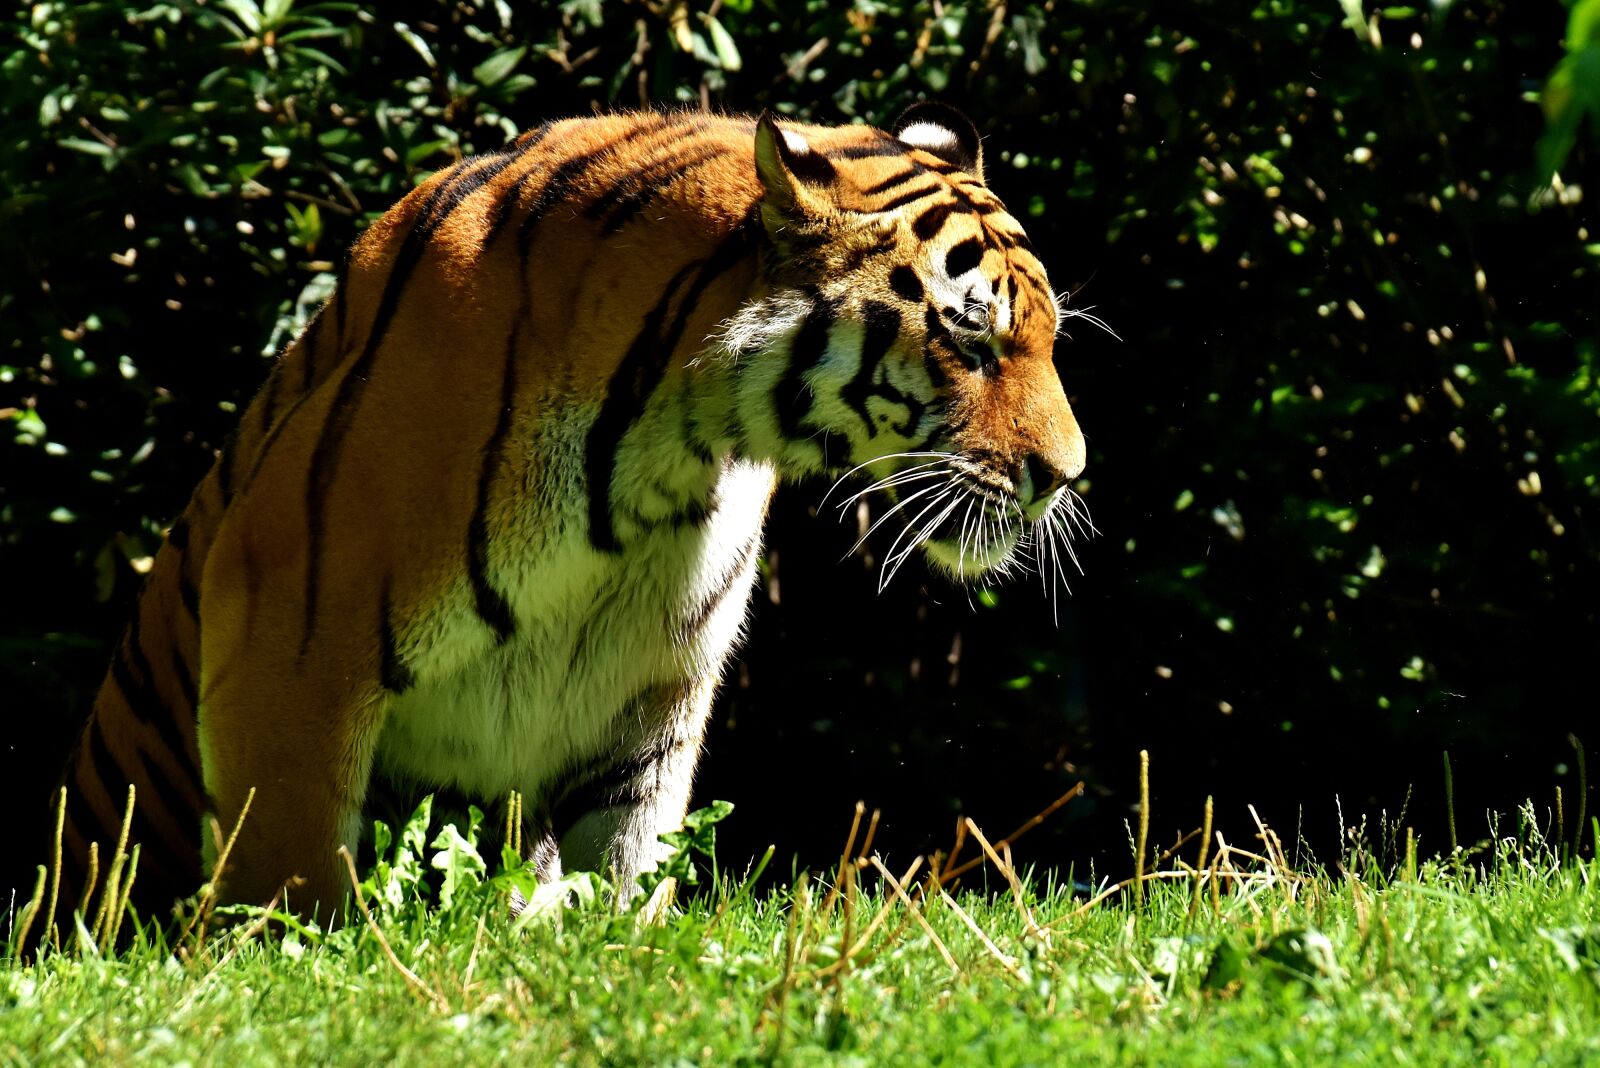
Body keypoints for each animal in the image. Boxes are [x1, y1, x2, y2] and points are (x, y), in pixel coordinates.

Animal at [40, 104, 1088, 931]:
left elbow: (627, 842)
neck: (672, 454)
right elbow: (290, 868)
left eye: (1045, 337)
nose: (1066, 474)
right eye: (968, 334)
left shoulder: (653, 682)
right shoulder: (283, 620)